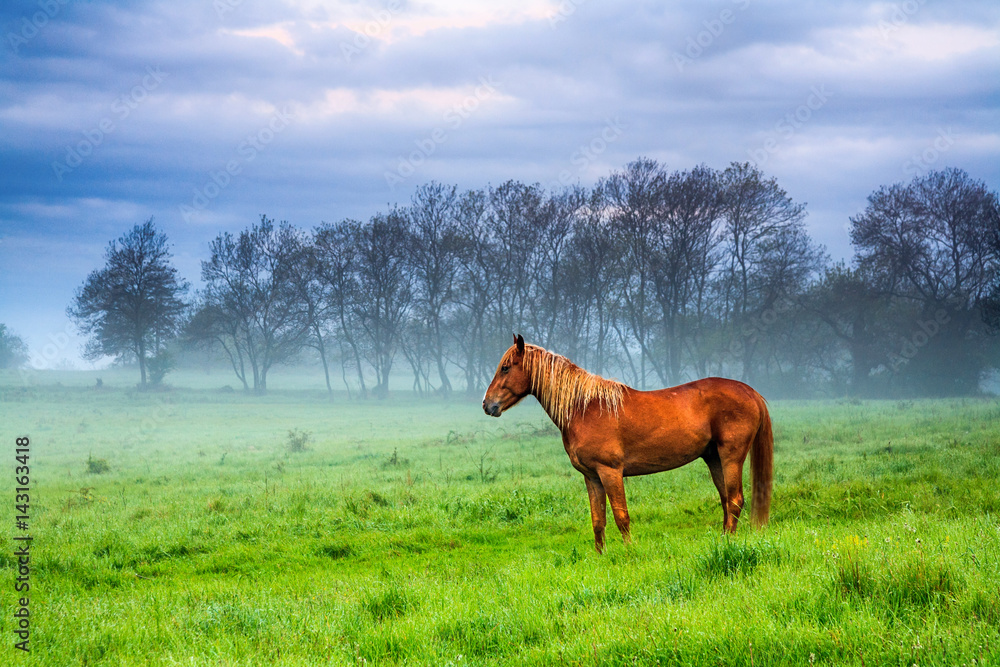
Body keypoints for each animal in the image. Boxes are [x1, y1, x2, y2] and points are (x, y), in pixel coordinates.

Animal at [482, 334, 773, 553]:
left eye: (506, 367)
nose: (487, 405)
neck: (585, 408)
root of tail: (751, 392)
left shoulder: (610, 472)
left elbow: (621, 517)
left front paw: (630, 552)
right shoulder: (592, 477)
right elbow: (598, 520)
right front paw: (600, 557)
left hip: (731, 456)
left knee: (734, 500)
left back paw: (728, 544)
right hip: (713, 458)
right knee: (725, 500)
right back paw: (723, 541)